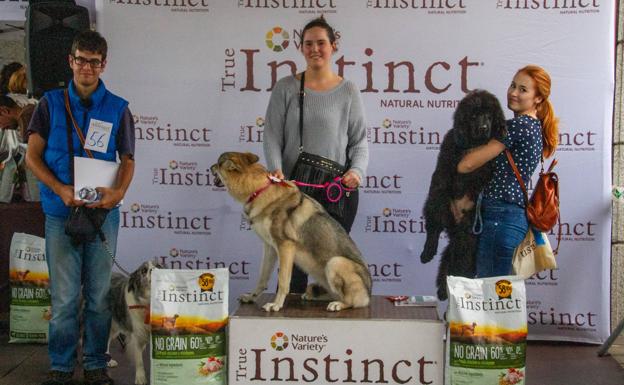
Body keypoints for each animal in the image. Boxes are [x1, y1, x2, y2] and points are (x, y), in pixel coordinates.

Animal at [212, 152, 372, 310]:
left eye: (218, 164)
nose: (210, 168)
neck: (260, 190)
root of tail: (369, 294)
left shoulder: (285, 246)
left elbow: (283, 281)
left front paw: (276, 305)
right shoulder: (270, 247)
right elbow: (262, 278)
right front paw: (251, 297)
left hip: (335, 262)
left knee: (351, 301)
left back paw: (338, 304)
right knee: (331, 294)